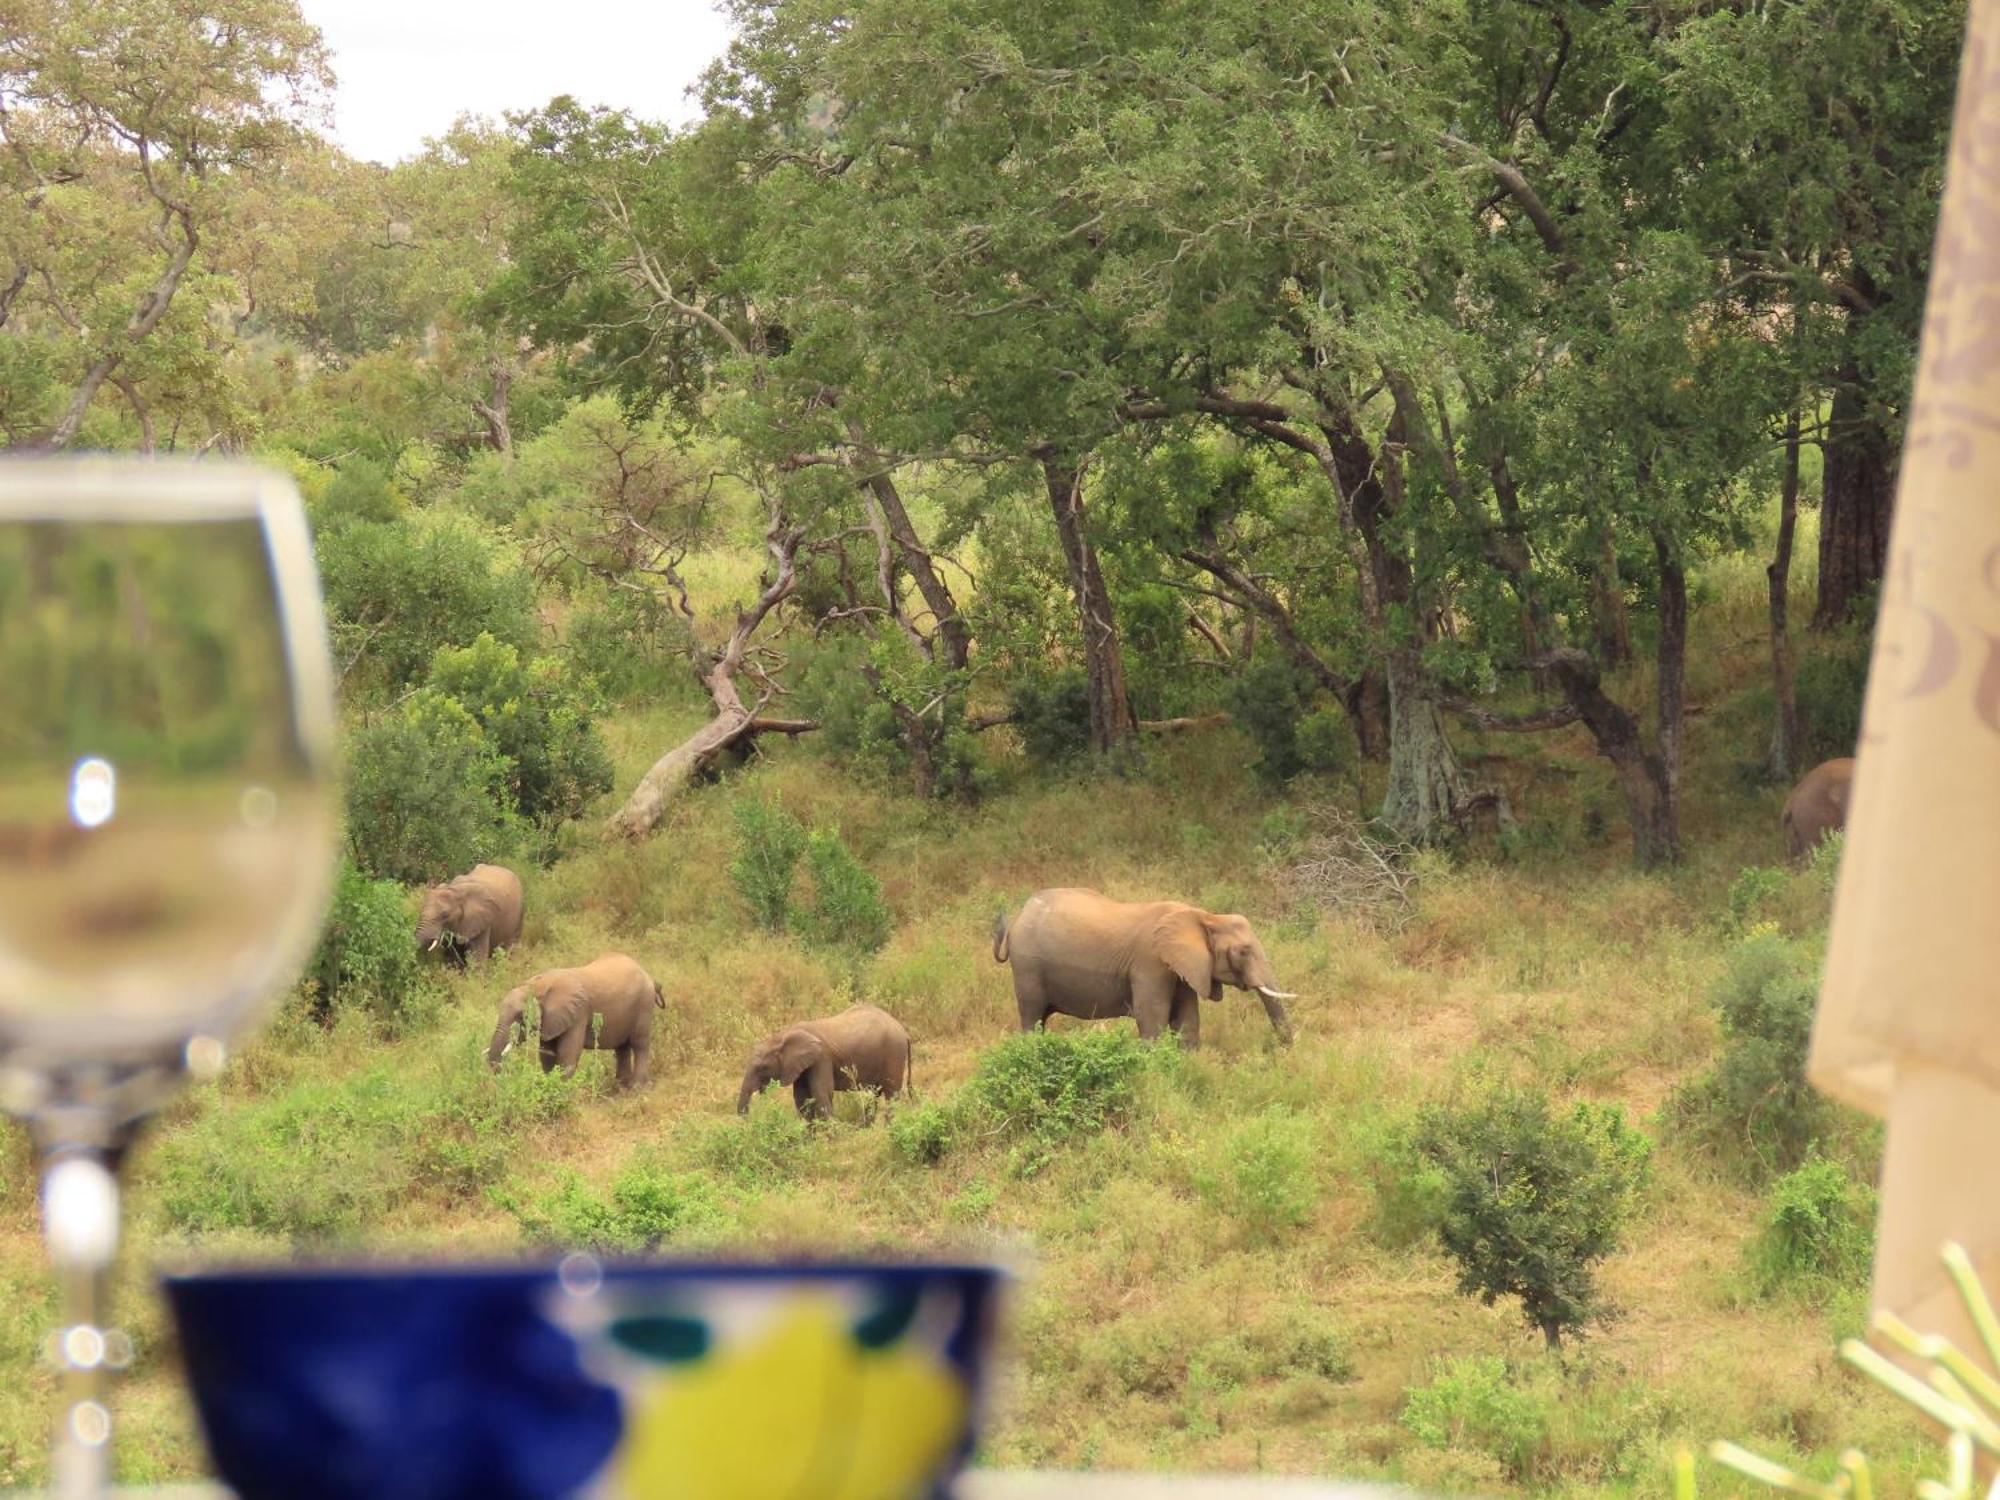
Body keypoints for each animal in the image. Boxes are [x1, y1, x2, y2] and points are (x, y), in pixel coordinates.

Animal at [490, 952, 664, 1096]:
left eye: (521, 1016)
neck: (538, 986)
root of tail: (649, 977)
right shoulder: (551, 1020)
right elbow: (547, 1053)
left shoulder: (578, 1013)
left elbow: (568, 1052)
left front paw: (562, 1093)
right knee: (622, 1048)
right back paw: (621, 1087)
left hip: (644, 1004)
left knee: (640, 1044)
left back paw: (636, 1088)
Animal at [740, 1004, 916, 1120]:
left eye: (762, 1068)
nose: (746, 1118)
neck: (783, 1035)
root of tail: (904, 1032)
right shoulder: (802, 1065)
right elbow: (801, 1098)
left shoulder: (821, 1058)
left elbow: (821, 1092)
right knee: (874, 1093)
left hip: (894, 1052)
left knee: (891, 1093)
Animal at [996, 888, 1296, 1048]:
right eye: (1243, 951)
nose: (1285, 1049)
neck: (1203, 916)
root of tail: (1016, 920)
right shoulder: (1150, 963)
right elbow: (1152, 1016)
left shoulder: (1182, 969)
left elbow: (1188, 1020)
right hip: (1027, 966)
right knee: (1032, 1015)